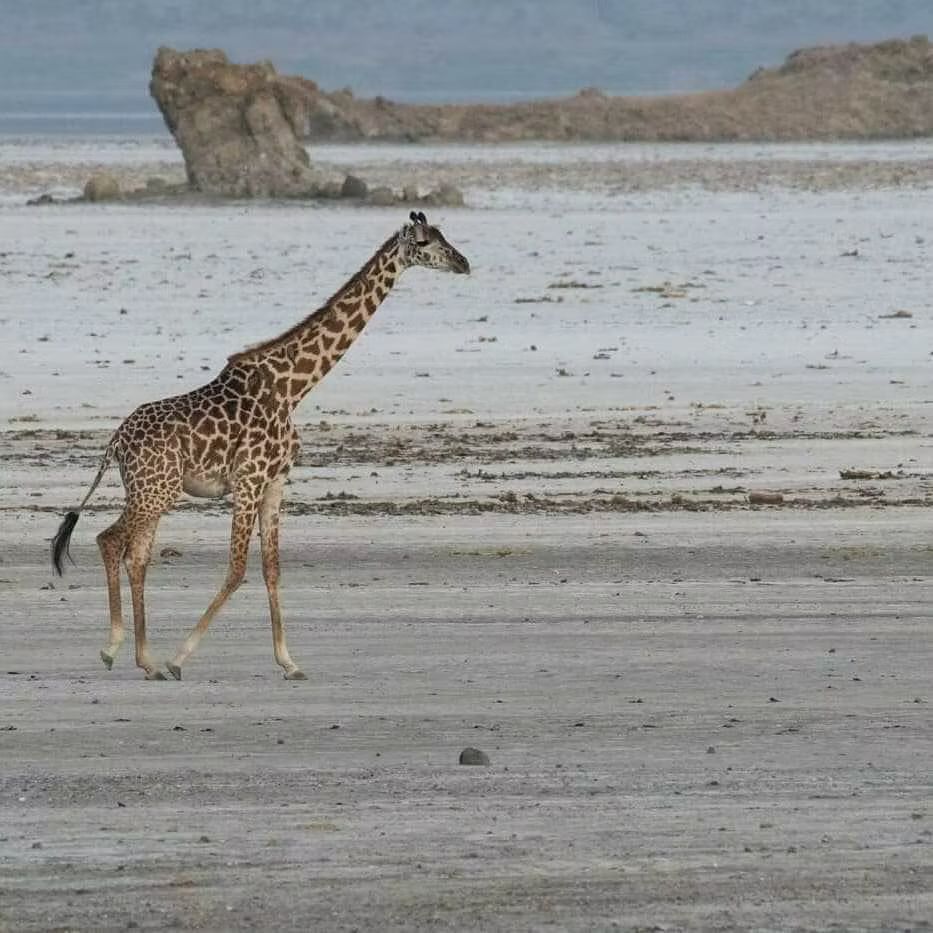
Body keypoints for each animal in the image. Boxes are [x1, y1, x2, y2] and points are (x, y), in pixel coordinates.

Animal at [51, 211, 470, 681]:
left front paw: (289, 662)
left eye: (444, 235)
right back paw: (115, 649)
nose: (464, 263)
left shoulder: (275, 482)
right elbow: (236, 569)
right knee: (110, 541)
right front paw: (180, 658)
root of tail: (114, 443)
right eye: (425, 241)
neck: (294, 387)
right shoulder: (249, 479)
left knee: (136, 556)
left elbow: (272, 569)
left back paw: (145, 659)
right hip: (154, 490)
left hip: (152, 490)